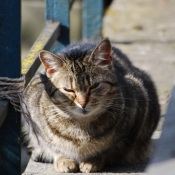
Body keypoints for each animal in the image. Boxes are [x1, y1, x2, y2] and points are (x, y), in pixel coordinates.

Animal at [23, 38, 160, 172]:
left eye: (94, 86)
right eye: (68, 90)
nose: (83, 103)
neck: (81, 128)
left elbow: (107, 149)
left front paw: (93, 161)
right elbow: (53, 146)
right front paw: (64, 160)